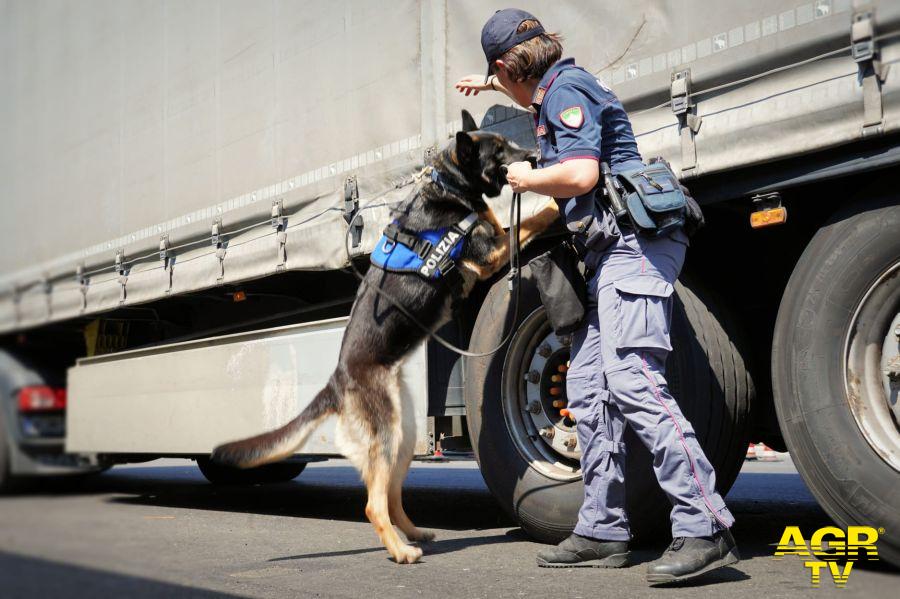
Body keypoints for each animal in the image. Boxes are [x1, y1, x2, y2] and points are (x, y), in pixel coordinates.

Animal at [214, 110, 560, 564]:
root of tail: (337, 380)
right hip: (388, 435)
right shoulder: (490, 252)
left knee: (393, 497)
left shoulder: (496, 238)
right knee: (374, 504)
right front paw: (557, 201)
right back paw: (400, 550)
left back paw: (414, 533)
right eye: (500, 150)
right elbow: (533, 220)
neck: (448, 186)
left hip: (404, 435)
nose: (536, 155)